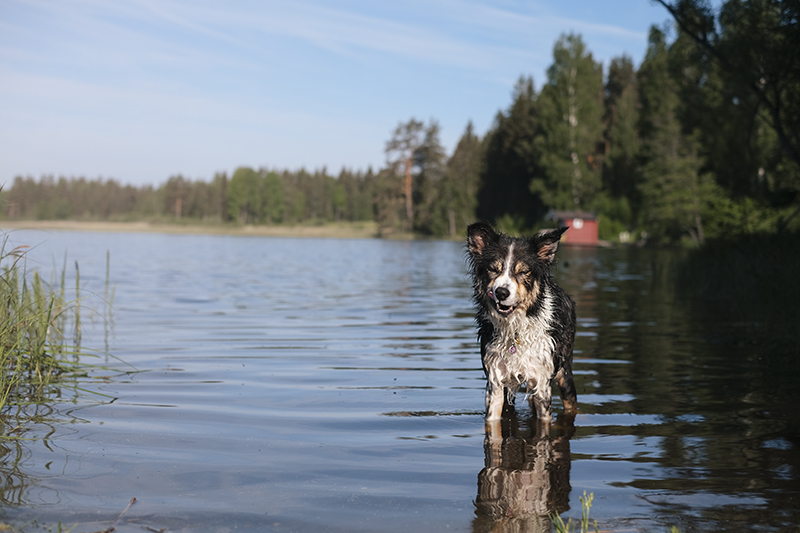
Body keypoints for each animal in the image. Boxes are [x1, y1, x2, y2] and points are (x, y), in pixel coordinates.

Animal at [466, 220, 580, 424]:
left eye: (523, 272)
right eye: (493, 269)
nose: (501, 292)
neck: (515, 330)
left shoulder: (542, 382)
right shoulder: (495, 381)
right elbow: (492, 419)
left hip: (564, 372)